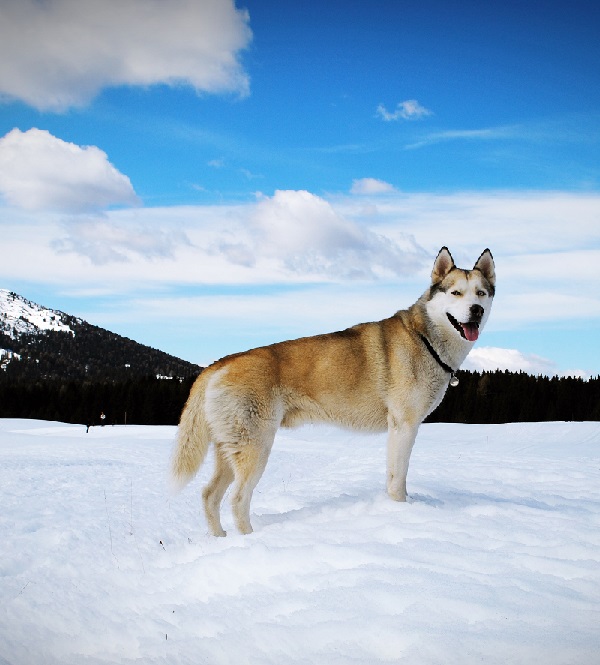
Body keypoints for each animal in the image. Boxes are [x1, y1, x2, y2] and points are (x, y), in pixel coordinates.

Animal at [171, 248, 494, 536]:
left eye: (481, 293)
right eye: (455, 293)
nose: (476, 311)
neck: (425, 338)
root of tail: (219, 363)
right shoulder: (404, 426)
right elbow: (397, 480)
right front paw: (400, 510)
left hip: (229, 448)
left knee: (209, 495)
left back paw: (219, 539)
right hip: (256, 447)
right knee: (238, 500)